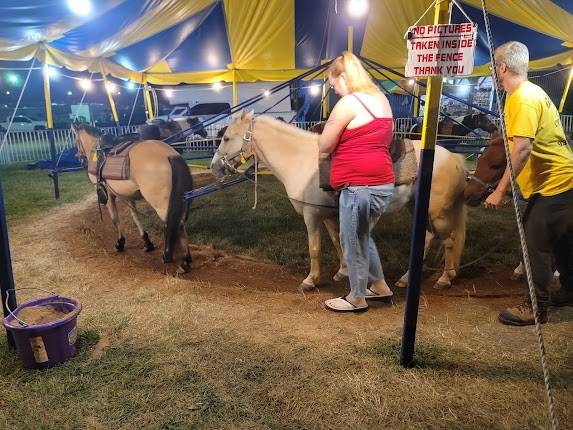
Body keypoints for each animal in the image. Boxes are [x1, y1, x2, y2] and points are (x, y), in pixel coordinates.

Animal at [73, 122, 194, 274]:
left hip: (162, 205)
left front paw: (120, 243)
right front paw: (147, 243)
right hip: (181, 200)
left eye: (76, 139)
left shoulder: (109, 195)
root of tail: (170, 155)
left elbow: (115, 219)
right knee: (181, 224)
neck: (96, 150)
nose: (78, 156)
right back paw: (185, 261)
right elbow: (136, 218)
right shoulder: (127, 196)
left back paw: (177, 259)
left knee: (173, 224)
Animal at [210, 112, 464, 290]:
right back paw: (406, 279)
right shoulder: (329, 215)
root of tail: (453, 158)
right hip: (418, 208)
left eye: (226, 138)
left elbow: (314, 248)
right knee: (428, 239)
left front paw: (310, 280)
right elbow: (337, 242)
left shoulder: (312, 216)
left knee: (449, 241)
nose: (214, 167)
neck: (302, 159)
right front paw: (343, 272)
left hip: (437, 213)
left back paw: (444, 278)